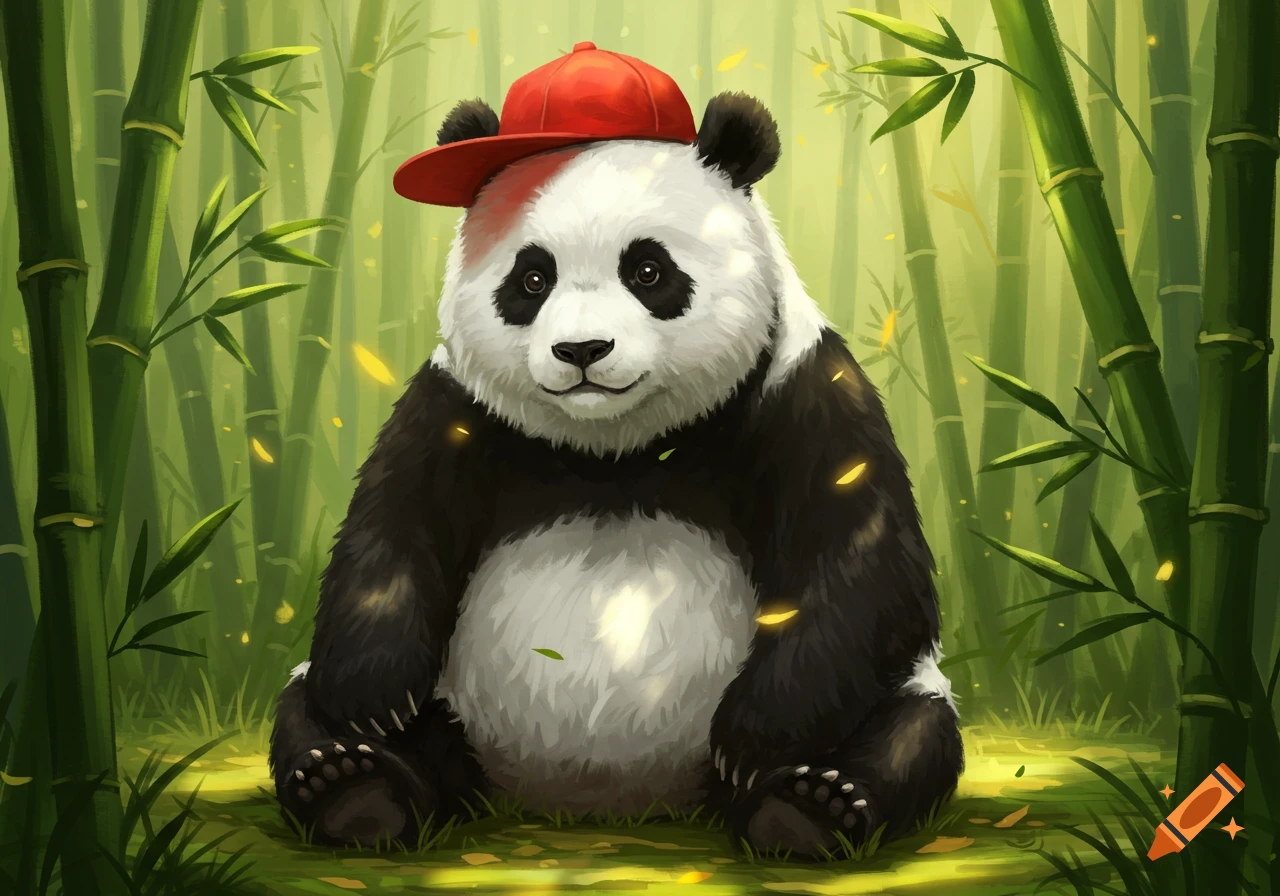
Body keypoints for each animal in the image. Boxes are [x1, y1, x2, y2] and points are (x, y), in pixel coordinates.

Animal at [268, 85, 964, 858]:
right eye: (531, 278)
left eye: (649, 271)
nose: (582, 350)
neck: (616, 452)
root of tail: (602, 799)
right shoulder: (455, 406)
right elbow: (392, 526)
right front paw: (373, 695)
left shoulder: (801, 391)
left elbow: (860, 560)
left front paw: (757, 734)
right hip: (448, 710)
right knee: (305, 705)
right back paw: (354, 789)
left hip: (898, 693)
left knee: (912, 729)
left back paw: (811, 808)